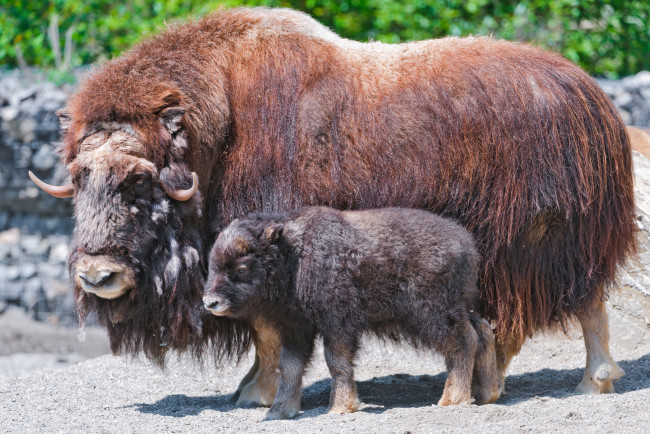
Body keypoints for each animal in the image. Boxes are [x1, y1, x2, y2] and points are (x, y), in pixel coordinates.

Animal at [202, 208, 496, 420]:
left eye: (241, 267)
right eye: (212, 264)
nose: (210, 302)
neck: (295, 256)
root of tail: (466, 245)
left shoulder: (337, 325)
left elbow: (337, 362)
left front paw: (340, 407)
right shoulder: (296, 329)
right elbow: (290, 367)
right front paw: (279, 411)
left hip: (433, 316)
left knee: (463, 342)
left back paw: (451, 400)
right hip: (458, 309)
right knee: (482, 330)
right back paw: (486, 394)